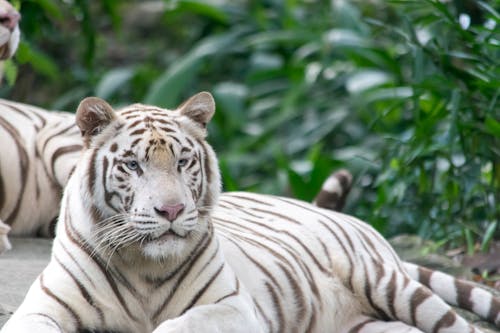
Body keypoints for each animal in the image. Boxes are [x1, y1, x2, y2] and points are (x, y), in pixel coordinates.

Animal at [2, 92, 496, 332]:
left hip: (388, 284)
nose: (171, 209)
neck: (142, 264)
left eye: (183, 162)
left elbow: (179, 326)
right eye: (133, 165)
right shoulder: (42, 308)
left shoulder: (232, 308)